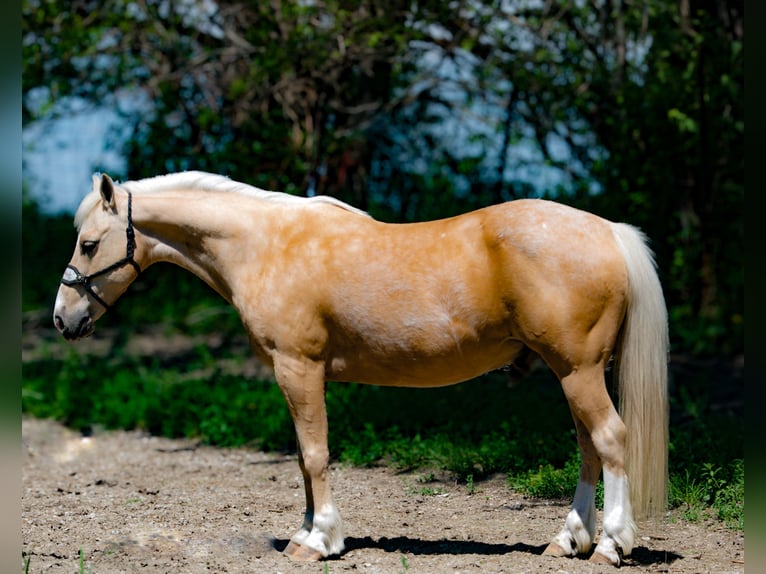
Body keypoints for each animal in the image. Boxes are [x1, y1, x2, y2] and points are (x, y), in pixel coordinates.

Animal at [54, 171, 668, 568]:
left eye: (89, 244)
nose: (63, 319)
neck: (265, 245)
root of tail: (609, 230)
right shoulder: (298, 376)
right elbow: (304, 459)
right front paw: (308, 533)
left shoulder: (298, 368)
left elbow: (314, 454)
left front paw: (317, 540)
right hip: (573, 373)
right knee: (589, 448)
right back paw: (569, 541)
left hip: (578, 371)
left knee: (610, 439)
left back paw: (611, 545)